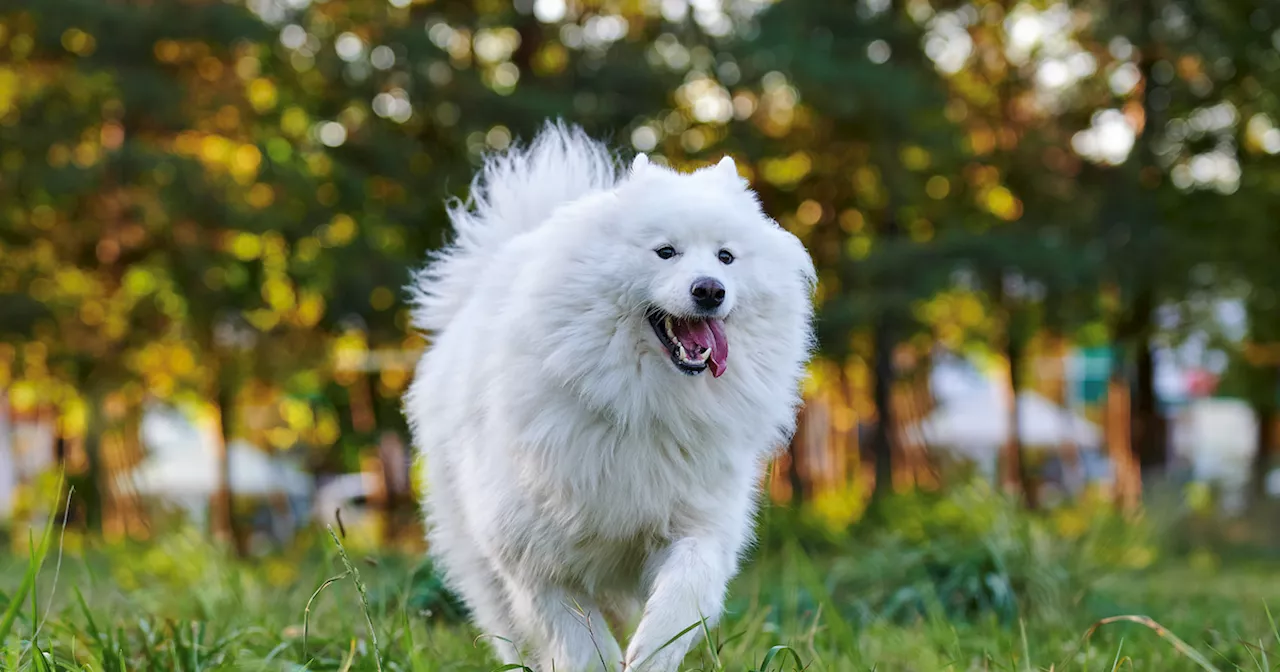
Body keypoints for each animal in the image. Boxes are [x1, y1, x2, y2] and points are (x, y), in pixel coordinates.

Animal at [404, 121, 814, 670]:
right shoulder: (536, 560)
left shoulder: (699, 523)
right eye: (665, 252)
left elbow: (685, 591)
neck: (639, 400)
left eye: (726, 257)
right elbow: (579, 640)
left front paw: (651, 653)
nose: (710, 289)